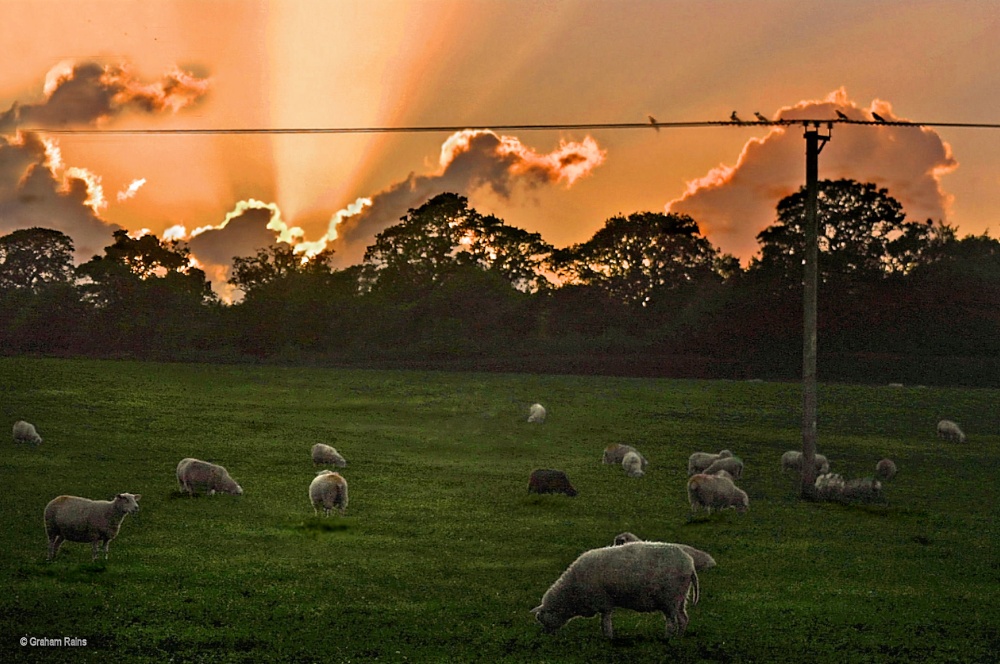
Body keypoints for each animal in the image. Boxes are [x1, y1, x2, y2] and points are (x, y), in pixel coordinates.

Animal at [528, 544, 700, 640]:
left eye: (542, 618)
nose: (547, 635)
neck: (570, 594)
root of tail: (690, 564)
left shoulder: (603, 602)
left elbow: (605, 623)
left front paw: (608, 638)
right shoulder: (605, 602)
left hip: (669, 598)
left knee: (671, 622)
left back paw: (667, 638)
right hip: (680, 598)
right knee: (683, 619)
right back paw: (679, 637)